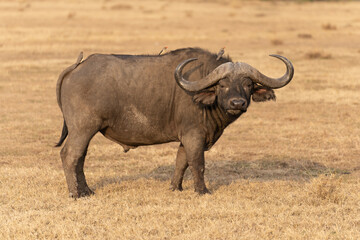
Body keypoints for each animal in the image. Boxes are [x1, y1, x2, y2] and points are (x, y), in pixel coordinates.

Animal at [54, 47, 294, 198]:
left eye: (248, 84)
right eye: (222, 84)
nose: (237, 102)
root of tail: (77, 67)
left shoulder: (186, 137)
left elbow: (181, 161)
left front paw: (175, 188)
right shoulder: (194, 135)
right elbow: (197, 163)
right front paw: (202, 191)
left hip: (84, 132)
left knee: (80, 159)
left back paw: (86, 191)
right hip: (83, 129)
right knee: (70, 155)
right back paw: (75, 194)